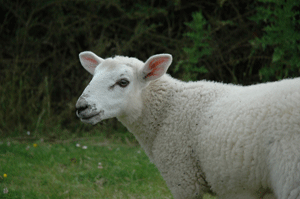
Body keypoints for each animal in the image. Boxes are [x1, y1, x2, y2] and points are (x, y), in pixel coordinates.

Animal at [75, 51, 300, 199]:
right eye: (93, 77)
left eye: (123, 82)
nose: (81, 107)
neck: (167, 110)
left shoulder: (183, 178)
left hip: (290, 173)